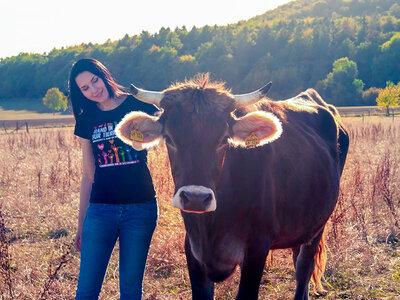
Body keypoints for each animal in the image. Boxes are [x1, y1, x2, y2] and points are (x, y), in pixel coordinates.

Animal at [115, 73, 346, 300]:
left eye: (223, 140)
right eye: (170, 139)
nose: (196, 198)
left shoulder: (257, 250)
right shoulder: (193, 251)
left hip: (318, 224)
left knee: (303, 268)